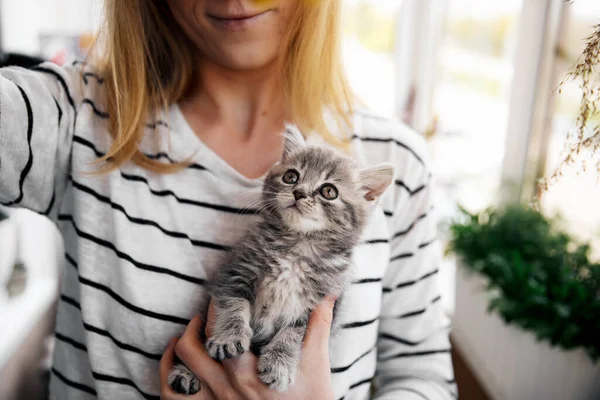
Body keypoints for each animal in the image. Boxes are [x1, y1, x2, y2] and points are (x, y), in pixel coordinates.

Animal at [169, 125, 394, 394]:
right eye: (291, 176)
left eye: (329, 191)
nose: (299, 193)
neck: (297, 249)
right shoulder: (236, 271)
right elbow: (234, 305)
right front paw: (228, 337)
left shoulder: (318, 306)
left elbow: (292, 335)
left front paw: (279, 365)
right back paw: (185, 373)